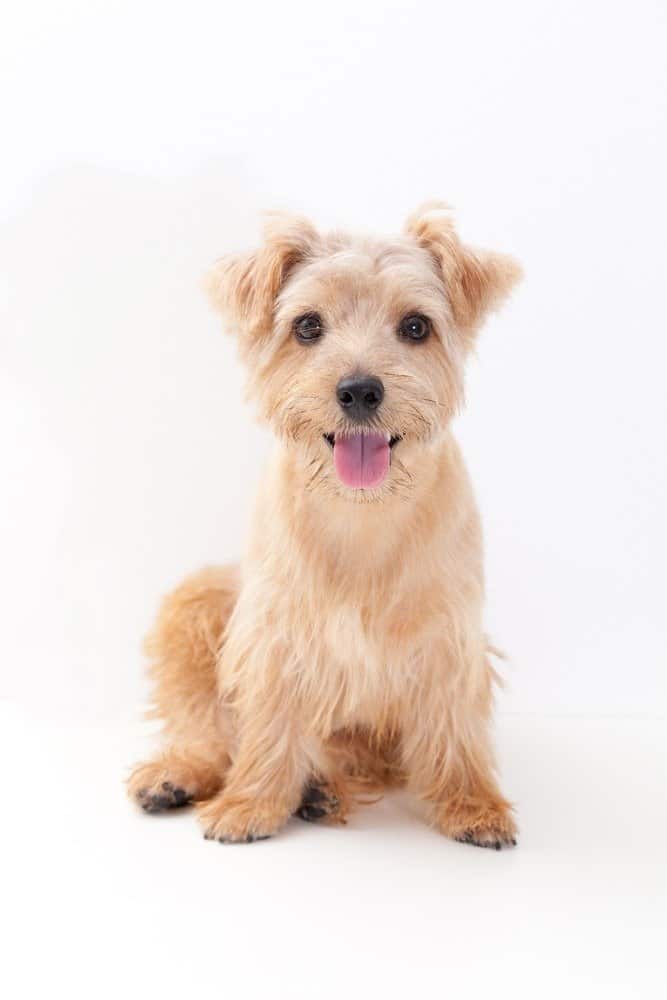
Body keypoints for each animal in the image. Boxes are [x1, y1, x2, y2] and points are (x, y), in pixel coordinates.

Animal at [128, 207, 524, 848]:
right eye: (308, 326)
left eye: (416, 326)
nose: (359, 390)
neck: (360, 512)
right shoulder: (273, 630)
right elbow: (265, 722)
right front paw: (251, 803)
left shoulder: (448, 636)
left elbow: (454, 729)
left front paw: (473, 804)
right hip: (197, 601)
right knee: (210, 727)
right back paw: (183, 774)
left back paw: (320, 788)